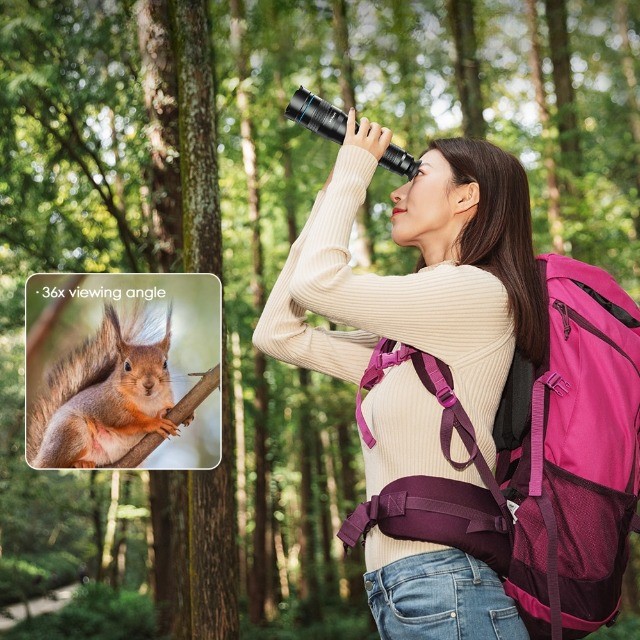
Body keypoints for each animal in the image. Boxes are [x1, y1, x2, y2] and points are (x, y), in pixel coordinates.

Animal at [26, 302, 192, 468]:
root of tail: (40, 458)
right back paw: (80, 463)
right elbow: (128, 421)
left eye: (165, 364)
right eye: (127, 366)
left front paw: (181, 413)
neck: (147, 400)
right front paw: (155, 422)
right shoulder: (108, 406)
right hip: (72, 430)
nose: (149, 384)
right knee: (58, 462)